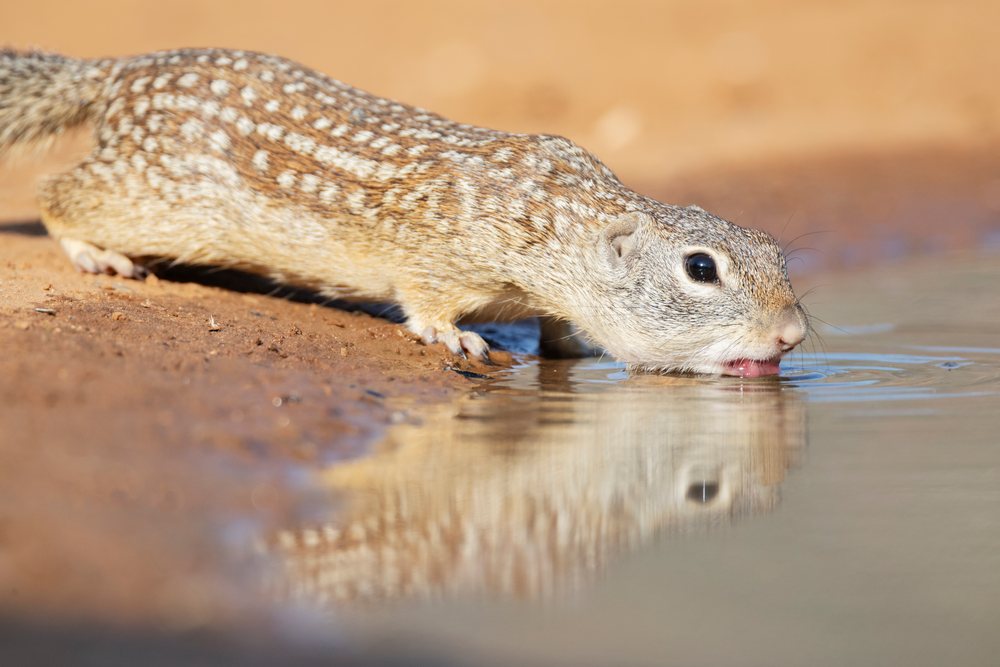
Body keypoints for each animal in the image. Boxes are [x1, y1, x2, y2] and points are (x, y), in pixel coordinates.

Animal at [0, 47, 808, 376]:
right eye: (700, 269)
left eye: (776, 249)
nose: (794, 333)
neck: (561, 218)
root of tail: (115, 72)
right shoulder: (444, 254)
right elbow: (426, 299)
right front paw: (454, 337)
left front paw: (573, 347)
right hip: (153, 197)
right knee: (57, 194)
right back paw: (93, 251)